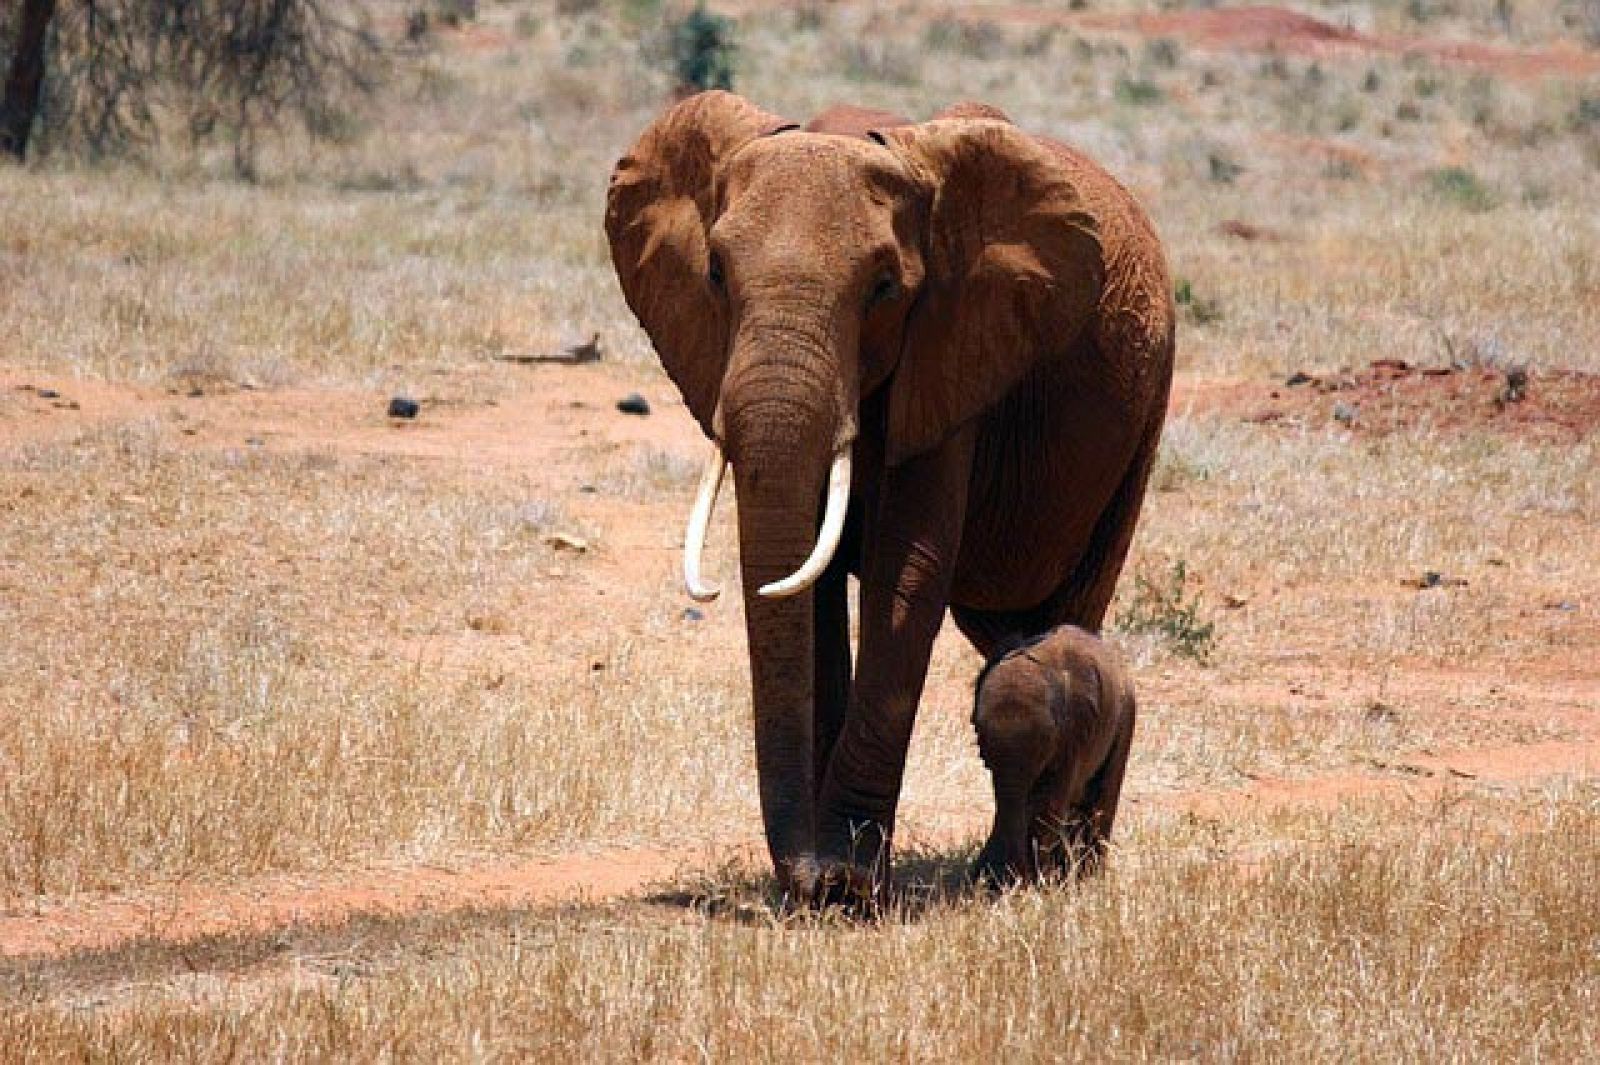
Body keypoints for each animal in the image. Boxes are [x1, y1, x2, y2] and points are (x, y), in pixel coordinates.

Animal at [972, 623, 1139, 876]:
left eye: (1046, 739)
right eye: (979, 731)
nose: (1019, 877)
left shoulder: (1073, 733)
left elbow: (1048, 803)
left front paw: (1042, 880)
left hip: (1127, 714)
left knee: (1103, 797)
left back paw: (1088, 875)